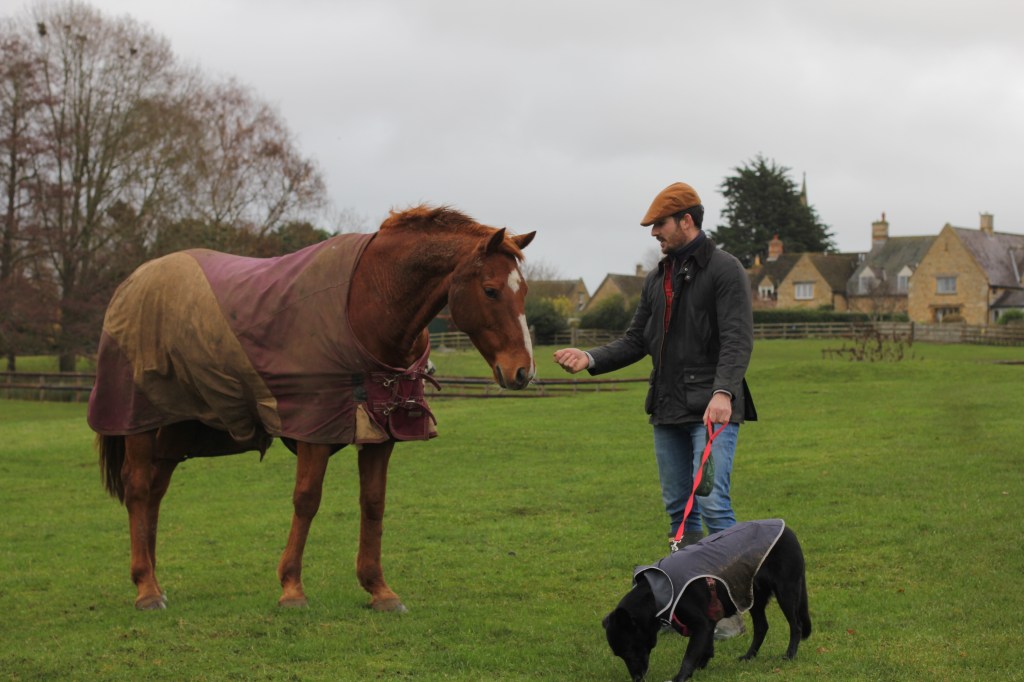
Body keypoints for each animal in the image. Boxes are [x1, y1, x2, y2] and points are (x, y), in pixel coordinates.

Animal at [88, 205, 536, 612]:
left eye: (525, 292)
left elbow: (373, 504)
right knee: (138, 488)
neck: (370, 302)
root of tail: (132, 283)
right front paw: (291, 588)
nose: (523, 371)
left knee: (155, 490)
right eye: (491, 290)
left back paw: (151, 577)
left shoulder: (381, 432)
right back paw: (146, 588)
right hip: (138, 419)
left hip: (176, 426)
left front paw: (379, 589)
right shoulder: (314, 429)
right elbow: (306, 499)